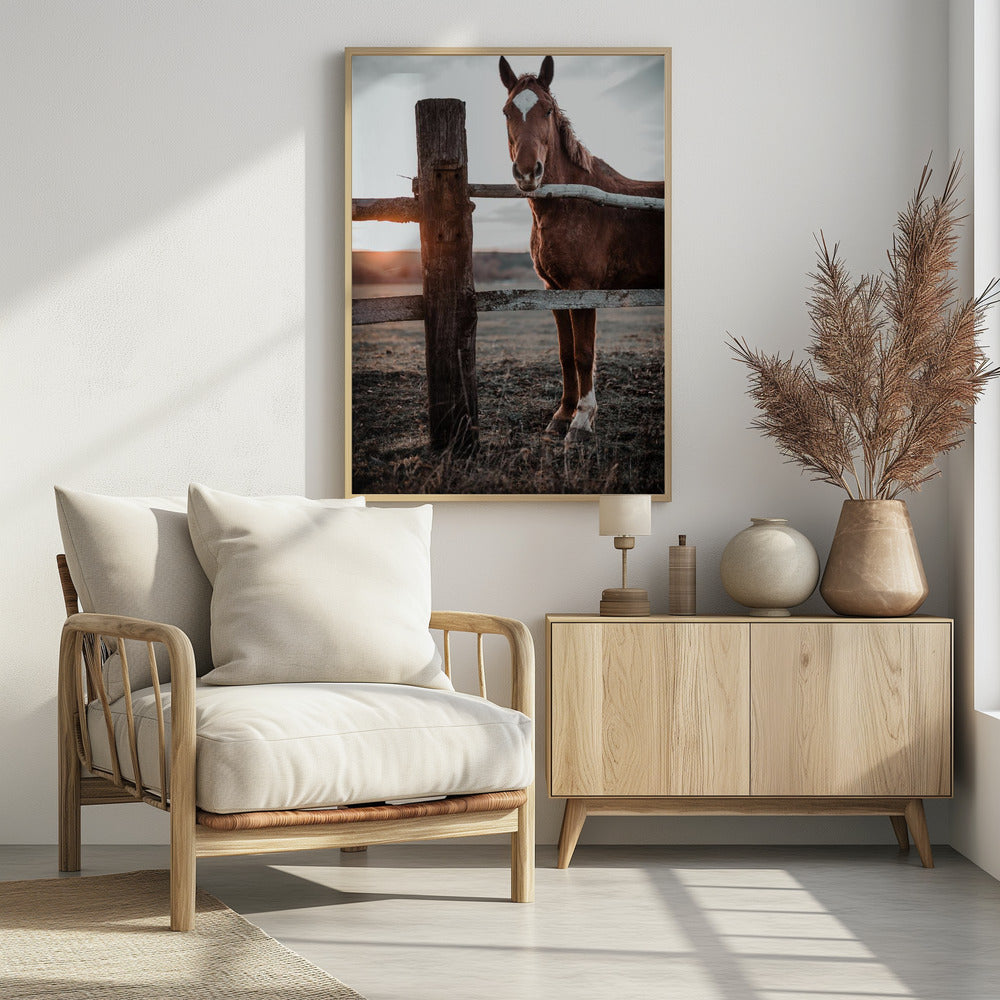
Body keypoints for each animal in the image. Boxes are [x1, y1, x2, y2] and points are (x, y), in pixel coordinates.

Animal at [499, 54, 664, 444]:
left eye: (546, 109)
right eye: (507, 111)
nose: (527, 172)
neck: (571, 201)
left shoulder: (583, 289)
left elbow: (584, 352)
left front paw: (582, 422)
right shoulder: (554, 290)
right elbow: (565, 354)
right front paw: (561, 416)